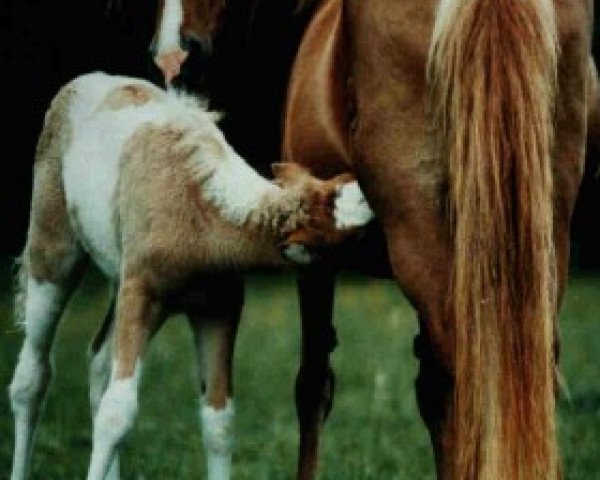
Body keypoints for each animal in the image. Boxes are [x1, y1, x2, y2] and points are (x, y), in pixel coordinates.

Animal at [9, 71, 372, 480]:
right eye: (351, 234)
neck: (200, 216)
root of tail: (83, 82)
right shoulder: (141, 293)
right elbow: (118, 412)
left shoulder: (218, 309)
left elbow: (218, 419)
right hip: (55, 251)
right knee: (32, 377)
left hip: (122, 280)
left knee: (99, 359)